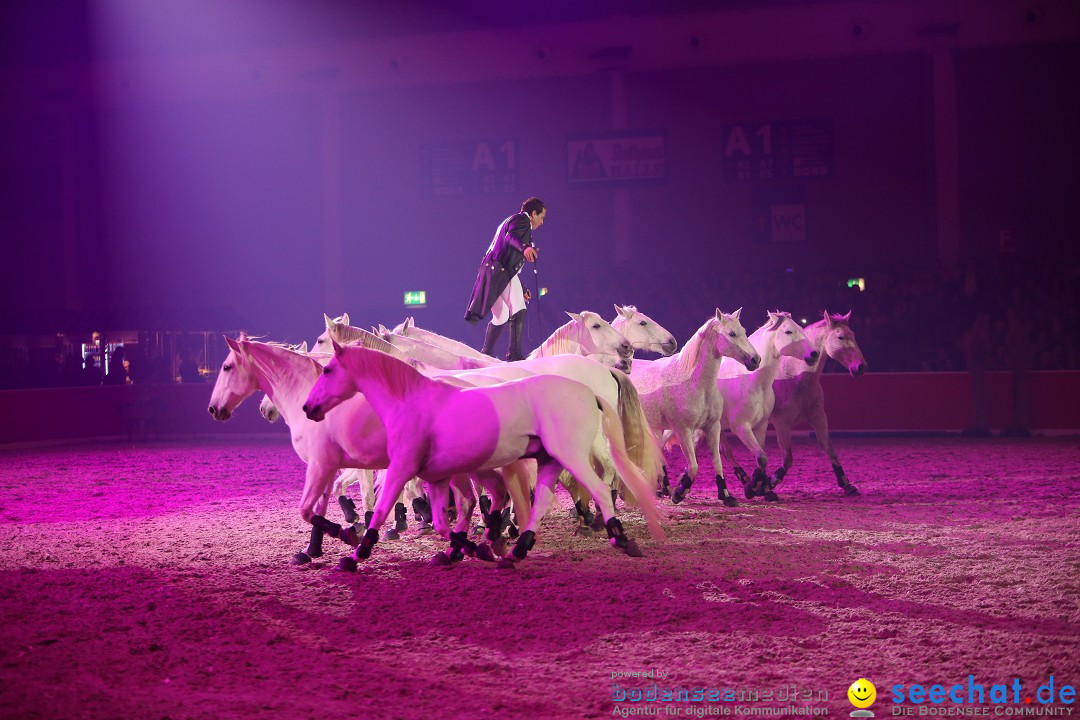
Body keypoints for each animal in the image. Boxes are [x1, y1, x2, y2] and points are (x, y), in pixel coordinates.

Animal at [300, 345, 660, 569]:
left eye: (328, 370)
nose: (308, 408)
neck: (411, 402)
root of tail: (590, 391)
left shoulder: (401, 469)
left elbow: (380, 512)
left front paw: (355, 555)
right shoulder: (437, 478)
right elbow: (443, 522)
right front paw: (472, 549)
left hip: (571, 455)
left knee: (600, 490)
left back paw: (620, 539)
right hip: (550, 461)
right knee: (541, 504)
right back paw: (515, 552)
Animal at [626, 310, 760, 507]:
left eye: (743, 330)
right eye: (731, 333)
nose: (755, 359)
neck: (692, 381)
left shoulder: (713, 427)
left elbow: (717, 460)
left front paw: (726, 495)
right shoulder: (683, 430)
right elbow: (694, 465)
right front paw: (679, 492)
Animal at [717, 310, 816, 500]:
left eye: (801, 328)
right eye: (788, 331)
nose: (814, 354)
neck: (752, 380)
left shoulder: (761, 425)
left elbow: (761, 457)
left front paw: (763, 489)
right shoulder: (741, 427)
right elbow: (762, 457)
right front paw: (752, 488)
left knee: (725, 451)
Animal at [768, 310, 868, 496]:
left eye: (853, 335)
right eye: (841, 337)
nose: (861, 367)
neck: (795, 376)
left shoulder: (818, 417)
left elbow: (829, 448)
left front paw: (846, 485)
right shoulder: (781, 424)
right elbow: (787, 459)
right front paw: (768, 484)